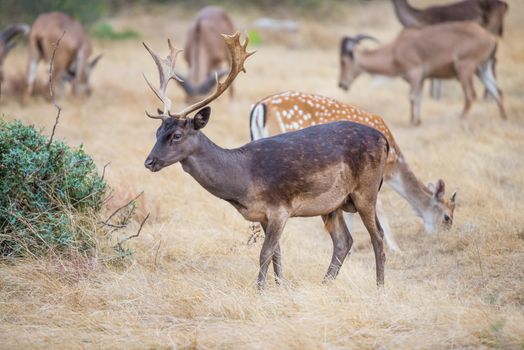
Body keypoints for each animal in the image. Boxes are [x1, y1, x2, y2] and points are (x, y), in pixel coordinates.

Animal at [142, 33, 388, 290]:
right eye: (158, 131)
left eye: (177, 135)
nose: (149, 162)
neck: (243, 180)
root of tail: (383, 139)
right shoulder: (262, 215)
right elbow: (277, 253)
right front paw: (280, 286)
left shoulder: (280, 208)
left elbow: (265, 252)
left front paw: (260, 290)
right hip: (333, 204)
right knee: (343, 240)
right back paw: (325, 283)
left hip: (366, 190)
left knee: (377, 235)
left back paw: (379, 287)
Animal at [251, 91, 458, 252]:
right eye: (447, 218)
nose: (443, 239)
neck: (394, 164)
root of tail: (260, 107)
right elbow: (378, 206)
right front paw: (395, 248)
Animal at [340, 22, 508, 126]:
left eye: (343, 61)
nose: (342, 84)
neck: (395, 50)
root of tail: (490, 37)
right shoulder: (421, 79)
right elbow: (418, 98)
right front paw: (417, 121)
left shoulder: (414, 72)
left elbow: (412, 97)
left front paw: (412, 122)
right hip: (483, 69)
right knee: (497, 91)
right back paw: (503, 118)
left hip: (465, 68)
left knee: (471, 94)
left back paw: (460, 118)